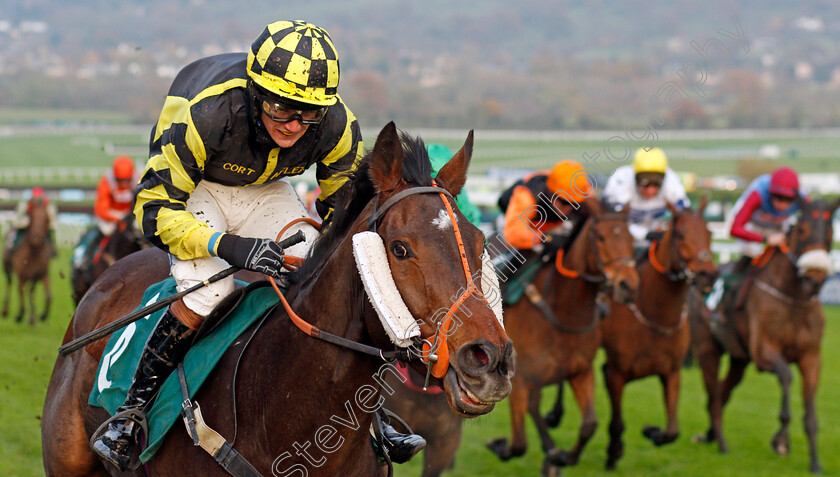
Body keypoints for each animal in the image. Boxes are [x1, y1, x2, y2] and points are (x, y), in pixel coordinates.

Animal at [486, 199, 636, 474]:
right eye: (600, 237)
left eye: (631, 238)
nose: (629, 286)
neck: (563, 312)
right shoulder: (520, 378)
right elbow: (519, 443)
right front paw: (501, 446)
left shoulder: (580, 371)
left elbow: (589, 425)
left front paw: (564, 457)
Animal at [596, 201, 716, 468]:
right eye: (680, 234)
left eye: (710, 233)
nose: (708, 275)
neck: (656, 316)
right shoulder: (617, 372)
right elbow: (617, 420)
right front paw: (613, 451)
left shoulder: (671, 371)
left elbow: (672, 431)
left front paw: (652, 431)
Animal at [692, 196, 836, 472]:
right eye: (803, 229)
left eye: (830, 232)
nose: (815, 279)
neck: (793, 298)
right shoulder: (763, 352)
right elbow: (786, 376)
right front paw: (781, 441)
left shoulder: (811, 358)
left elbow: (811, 414)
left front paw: (815, 463)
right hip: (708, 350)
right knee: (714, 394)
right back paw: (718, 440)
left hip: (739, 358)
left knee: (724, 391)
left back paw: (711, 434)